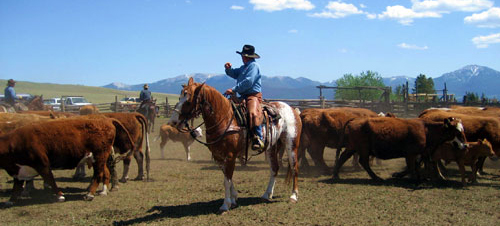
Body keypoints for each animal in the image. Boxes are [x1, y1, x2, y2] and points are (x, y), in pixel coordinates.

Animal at [0, 116, 134, 205]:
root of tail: (107, 119)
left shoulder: (43, 164)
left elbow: (50, 179)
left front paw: (60, 196)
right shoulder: (18, 170)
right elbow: (16, 187)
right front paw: (11, 201)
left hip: (99, 156)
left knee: (98, 174)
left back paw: (90, 194)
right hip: (100, 158)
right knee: (105, 172)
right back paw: (103, 191)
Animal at [168, 77, 300, 214]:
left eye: (188, 102)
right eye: (179, 98)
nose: (173, 122)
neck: (224, 119)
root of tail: (292, 109)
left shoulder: (230, 156)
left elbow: (227, 181)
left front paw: (225, 205)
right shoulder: (219, 157)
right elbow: (228, 179)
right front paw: (233, 199)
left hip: (291, 145)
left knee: (294, 167)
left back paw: (293, 196)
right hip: (271, 148)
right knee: (274, 168)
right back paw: (267, 194)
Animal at [332, 116, 468, 182]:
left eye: (463, 130)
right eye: (457, 131)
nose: (466, 145)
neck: (426, 130)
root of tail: (354, 120)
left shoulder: (420, 153)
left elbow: (416, 165)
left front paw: (420, 177)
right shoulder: (411, 153)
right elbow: (411, 167)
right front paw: (403, 176)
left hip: (352, 147)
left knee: (343, 157)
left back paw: (336, 174)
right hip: (363, 148)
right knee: (363, 162)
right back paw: (376, 178)